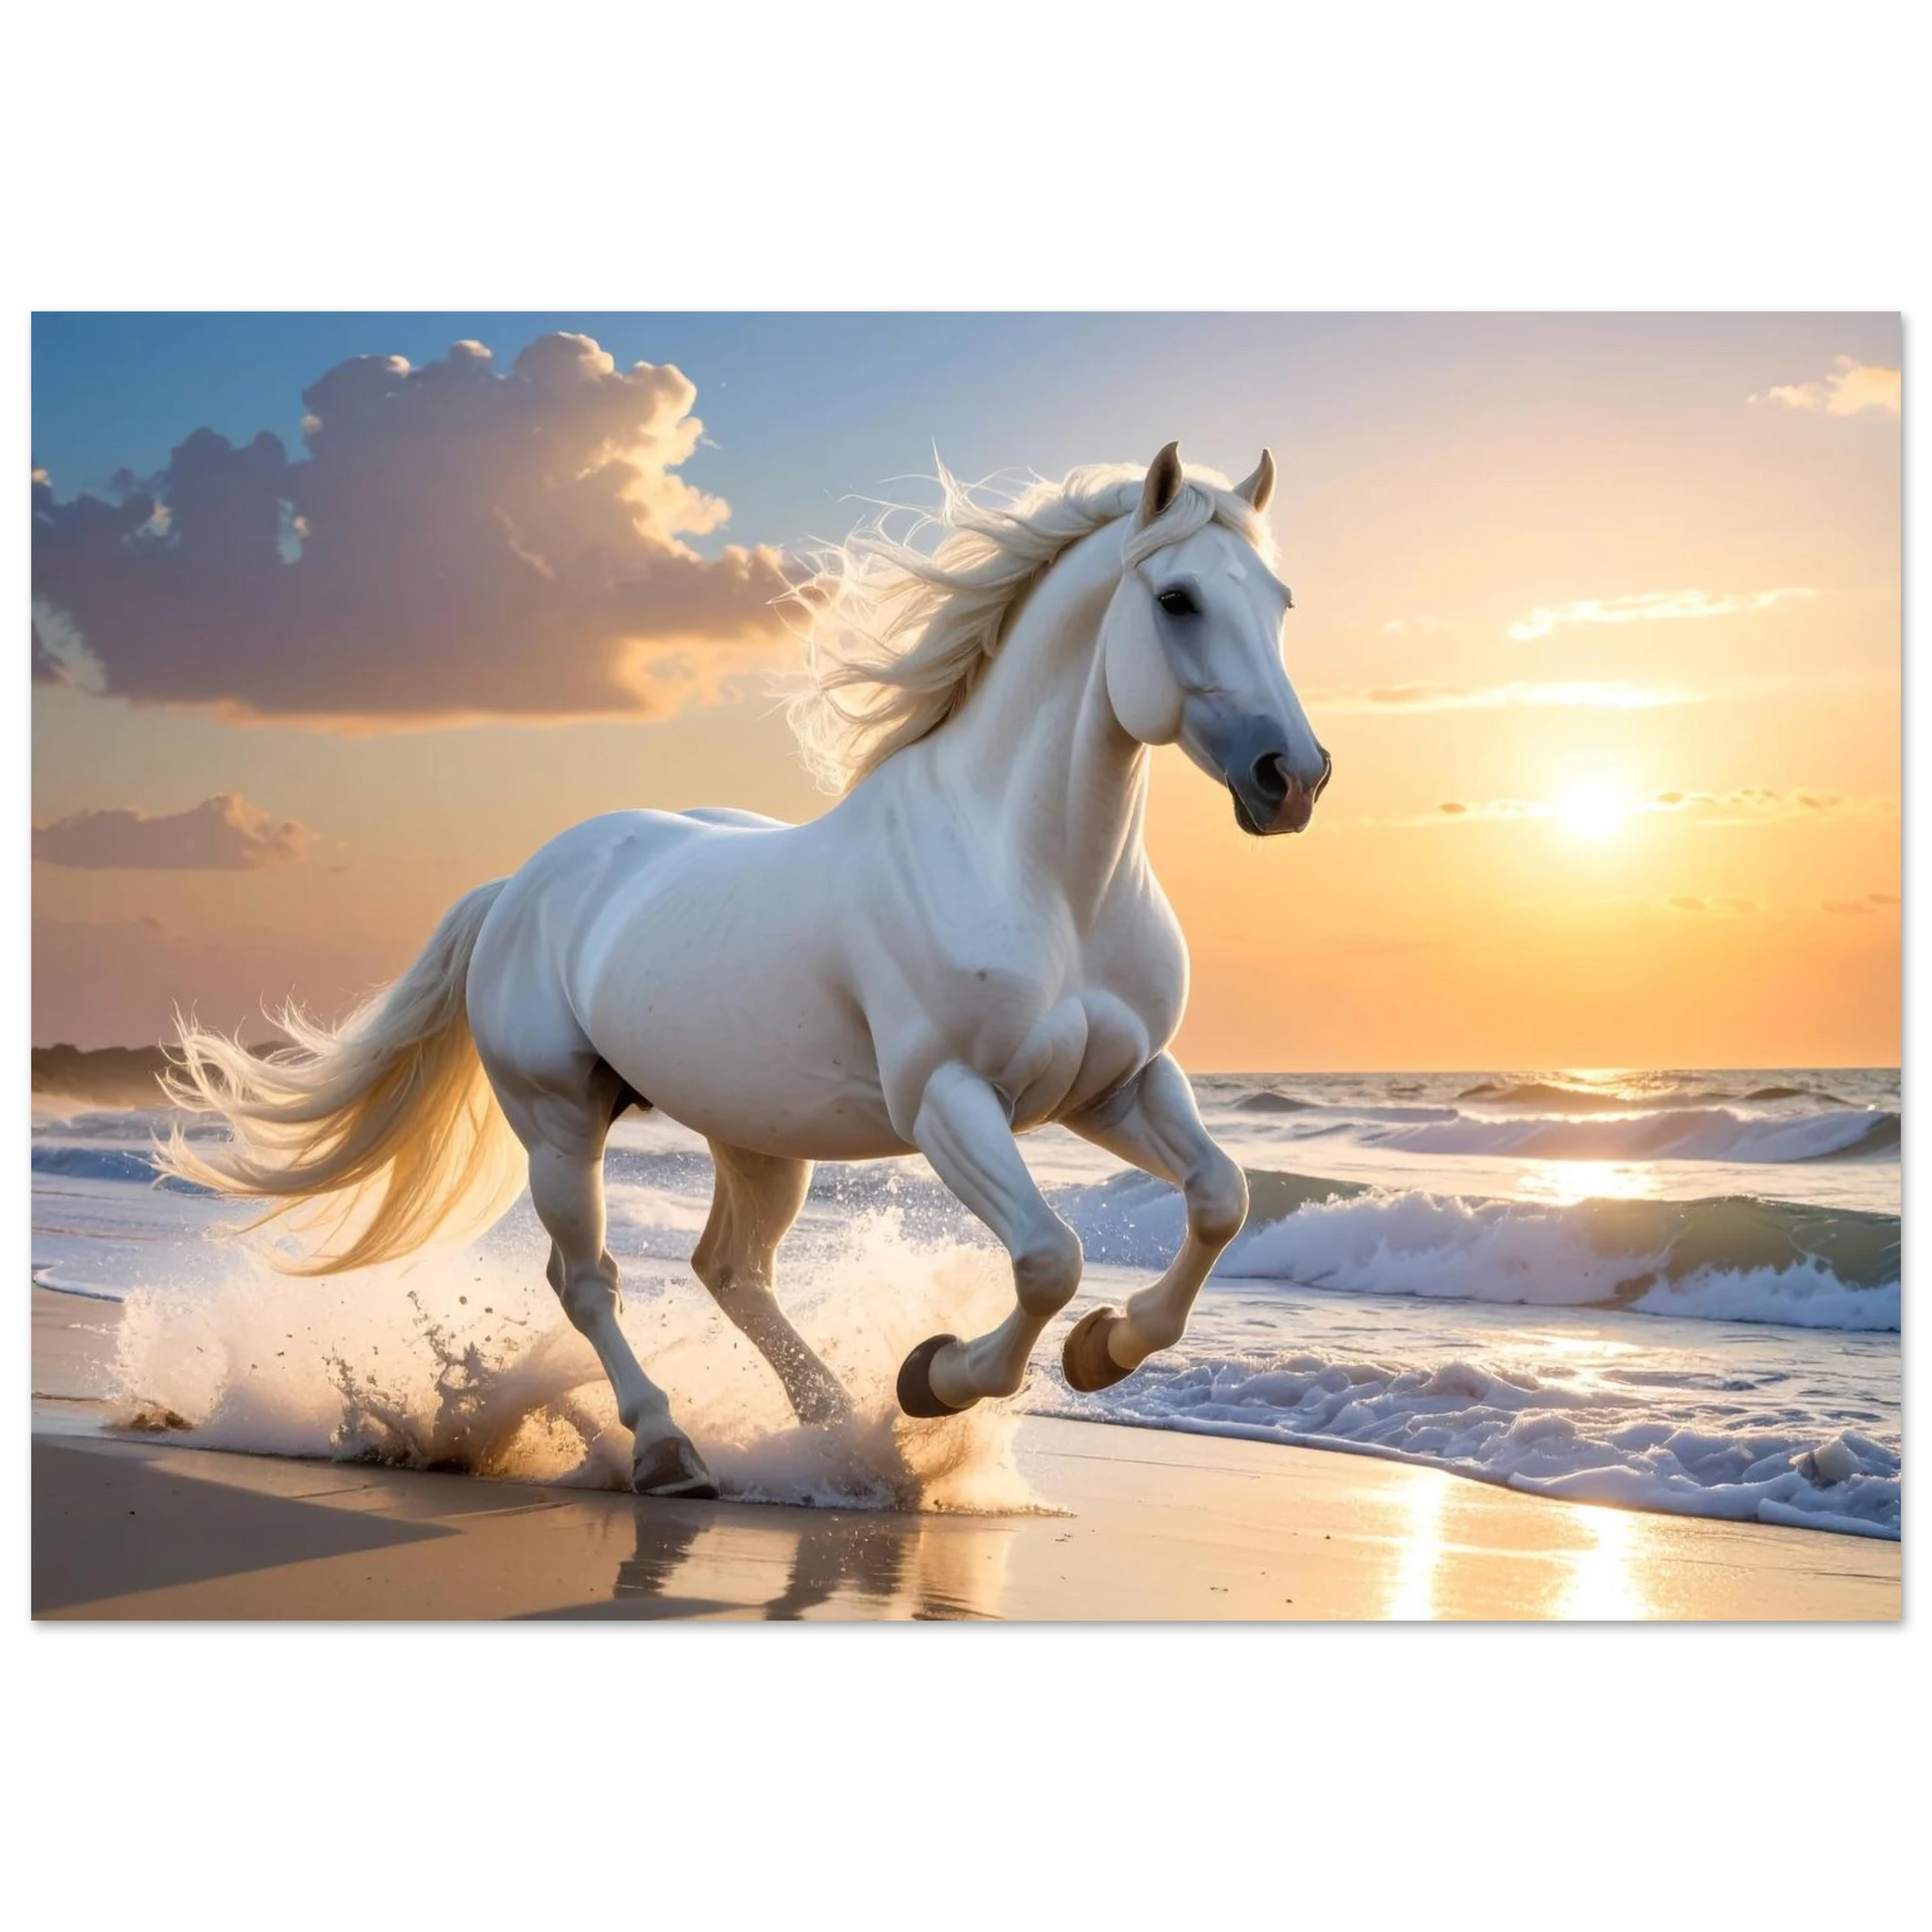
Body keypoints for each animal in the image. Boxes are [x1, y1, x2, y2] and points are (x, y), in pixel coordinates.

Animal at [158, 442, 1333, 1499]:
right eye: (1176, 598)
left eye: (1280, 601)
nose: (1293, 778)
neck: (1039, 875)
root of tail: (520, 883)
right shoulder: (950, 1100)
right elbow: (1049, 1255)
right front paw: (938, 1375)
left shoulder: (1116, 1085)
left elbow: (1219, 1198)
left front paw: (1099, 1349)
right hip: (558, 1118)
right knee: (588, 1279)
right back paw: (670, 1448)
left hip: (757, 1138)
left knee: (731, 1272)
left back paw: (836, 1435)